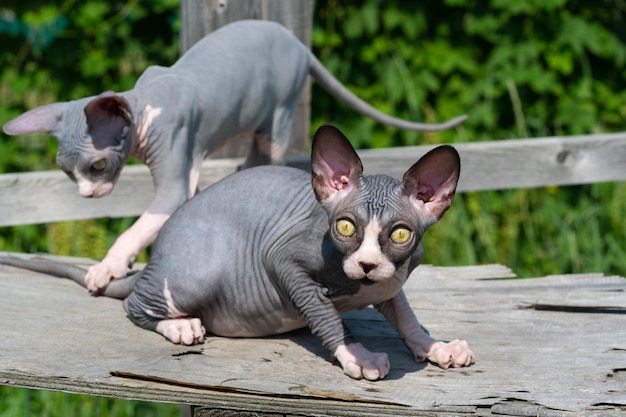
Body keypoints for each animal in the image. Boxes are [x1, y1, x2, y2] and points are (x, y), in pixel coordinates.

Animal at [0, 124, 472, 380]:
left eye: (400, 234)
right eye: (344, 227)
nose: (368, 264)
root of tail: (155, 260)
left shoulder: (390, 283)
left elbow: (407, 317)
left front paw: (437, 347)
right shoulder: (281, 258)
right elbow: (325, 315)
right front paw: (356, 355)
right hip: (199, 271)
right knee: (134, 304)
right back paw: (181, 326)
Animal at [2, 19, 466, 296]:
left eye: (97, 166)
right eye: (68, 173)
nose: (88, 195)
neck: (146, 103)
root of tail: (296, 42)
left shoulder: (176, 166)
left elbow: (145, 223)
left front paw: (109, 265)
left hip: (279, 113)